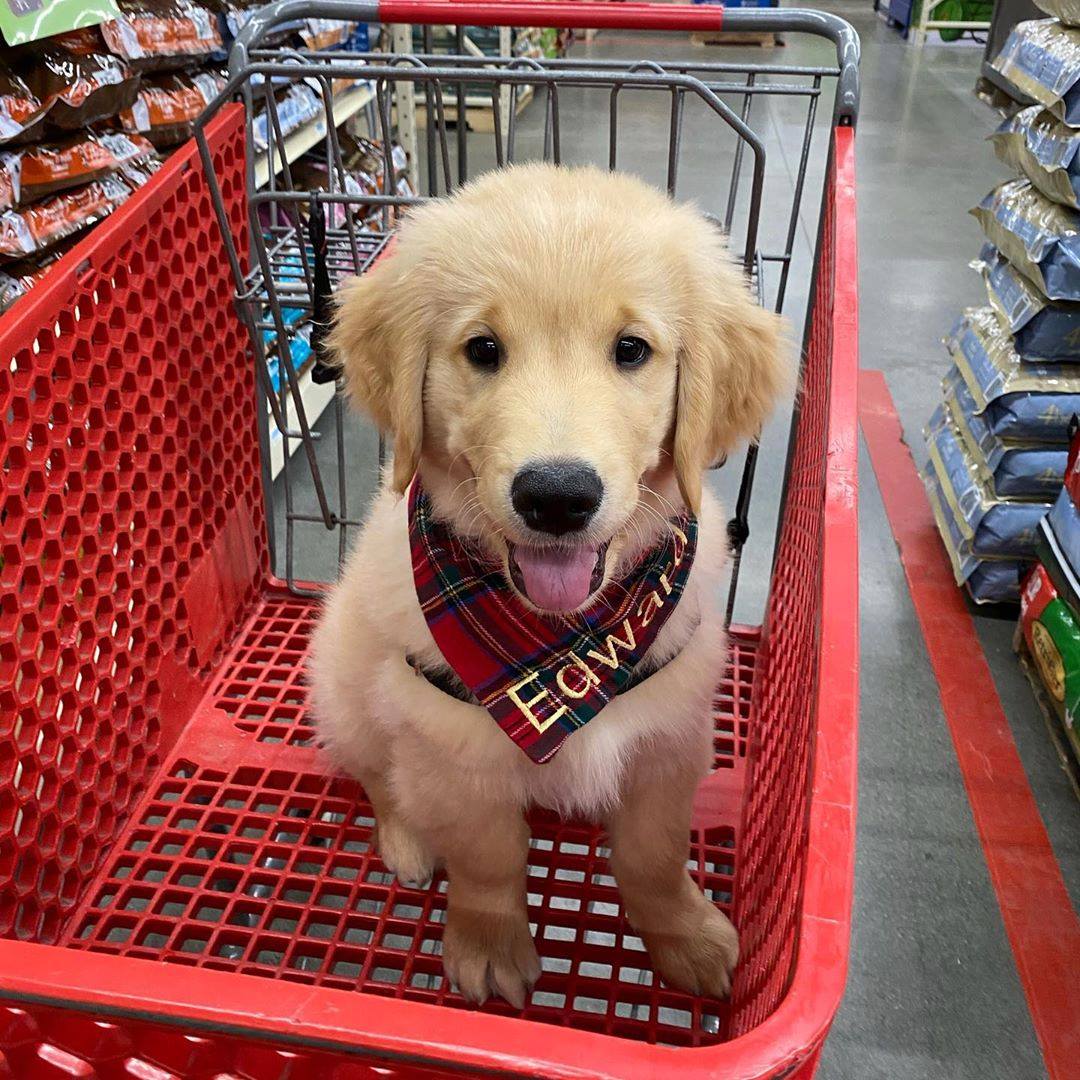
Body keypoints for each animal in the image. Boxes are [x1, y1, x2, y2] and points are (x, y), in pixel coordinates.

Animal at [309, 163, 787, 1008]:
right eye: (482, 349)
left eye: (631, 350)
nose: (557, 496)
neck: (560, 655)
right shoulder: (450, 751)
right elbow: (488, 859)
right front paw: (488, 943)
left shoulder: (671, 736)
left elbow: (654, 855)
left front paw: (685, 935)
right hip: (344, 681)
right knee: (374, 772)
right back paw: (406, 839)